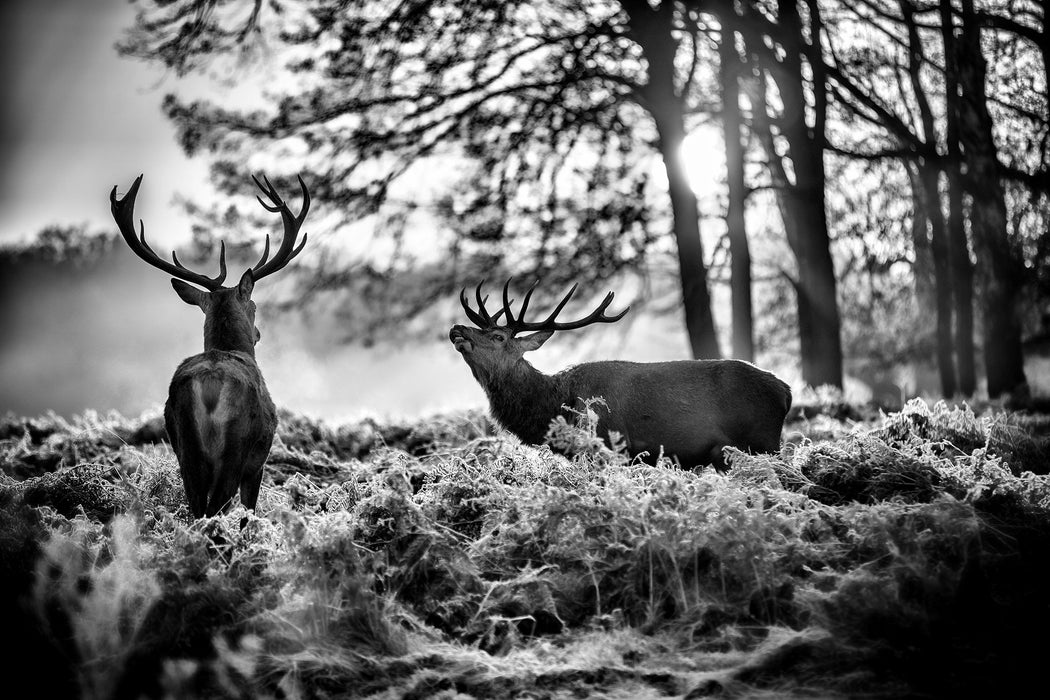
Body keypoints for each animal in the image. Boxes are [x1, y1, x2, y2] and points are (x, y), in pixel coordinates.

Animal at [111, 173, 308, 518]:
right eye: (254, 305)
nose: (258, 333)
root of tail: (210, 385)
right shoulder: (257, 463)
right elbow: (249, 510)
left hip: (184, 446)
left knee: (196, 507)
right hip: (236, 447)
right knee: (216, 506)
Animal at [447, 279, 789, 470]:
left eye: (498, 337)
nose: (457, 328)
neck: (555, 404)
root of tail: (786, 392)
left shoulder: (610, 442)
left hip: (763, 442)